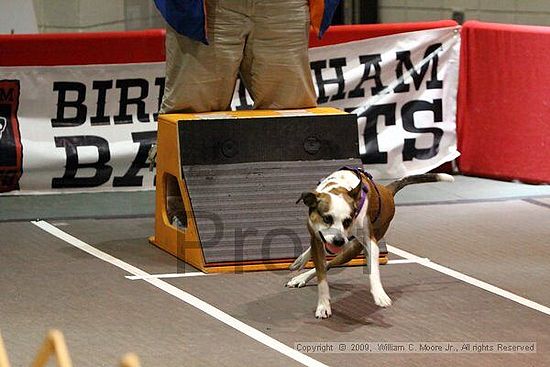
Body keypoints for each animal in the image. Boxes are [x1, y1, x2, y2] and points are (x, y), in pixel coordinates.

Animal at [286, 167, 454, 320]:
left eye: (347, 221)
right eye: (327, 218)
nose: (338, 241)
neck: (339, 186)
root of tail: (387, 191)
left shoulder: (369, 243)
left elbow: (373, 270)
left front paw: (380, 294)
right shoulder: (316, 239)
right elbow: (322, 277)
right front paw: (323, 305)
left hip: (352, 249)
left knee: (331, 262)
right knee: (325, 262)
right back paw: (301, 270)